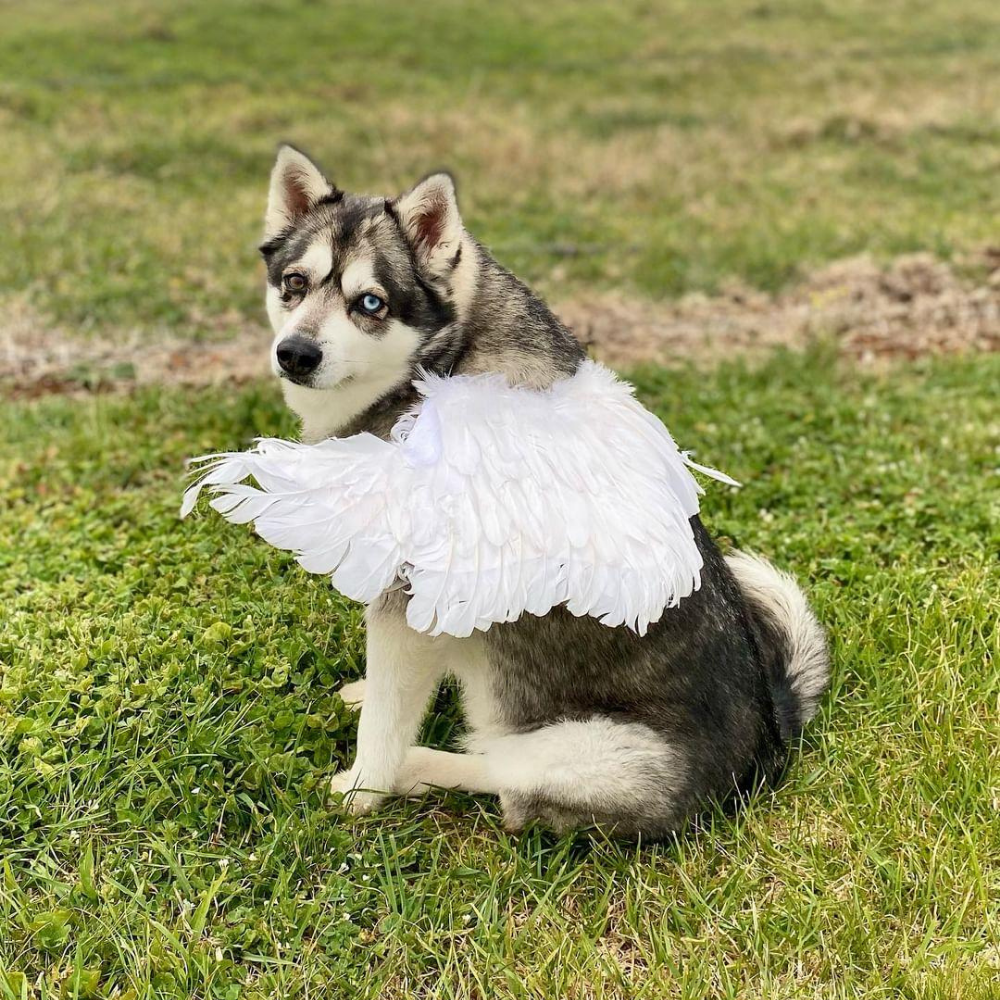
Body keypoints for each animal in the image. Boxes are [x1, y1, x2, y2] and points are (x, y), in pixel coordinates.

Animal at [258, 146, 828, 836]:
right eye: (295, 283)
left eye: (370, 302)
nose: (295, 353)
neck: (442, 362)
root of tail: (771, 744)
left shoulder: (413, 593)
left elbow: (385, 723)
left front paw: (363, 792)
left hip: (591, 753)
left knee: (505, 781)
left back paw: (421, 768)